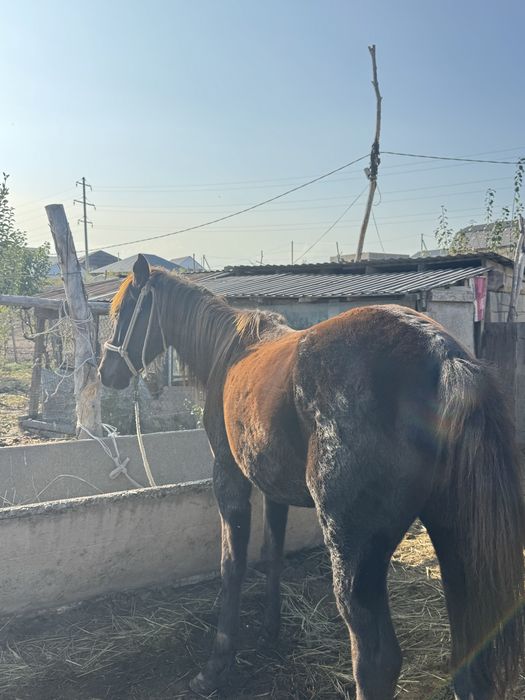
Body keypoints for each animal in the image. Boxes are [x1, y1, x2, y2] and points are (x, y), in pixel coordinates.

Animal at [99, 254, 525, 700]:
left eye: (123, 311)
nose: (105, 373)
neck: (230, 351)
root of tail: (442, 356)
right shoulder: (273, 489)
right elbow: (272, 553)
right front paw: (270, 631)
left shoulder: (230, 478)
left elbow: (232, 565)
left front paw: (217, 666)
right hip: (455, 541)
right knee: (469, 659)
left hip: (353, 552)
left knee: (376, 661)